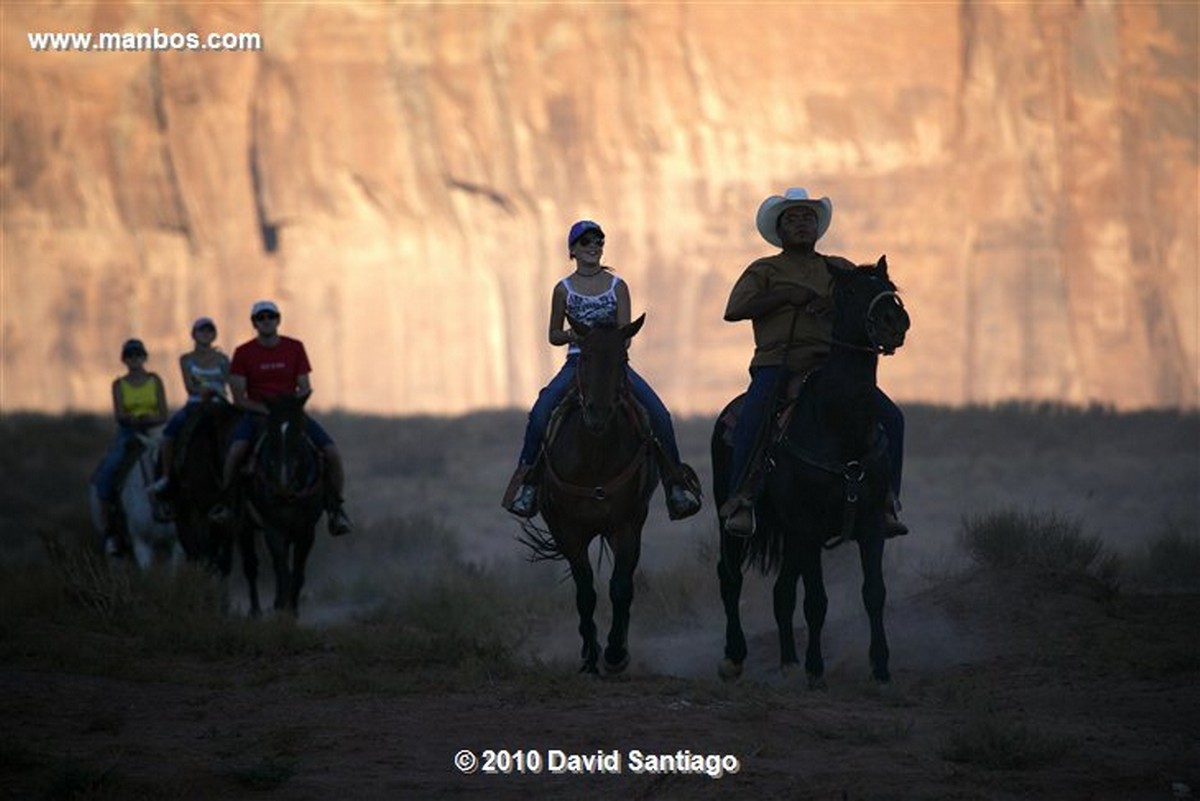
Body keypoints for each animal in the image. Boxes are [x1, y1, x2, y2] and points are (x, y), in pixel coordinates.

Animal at [238, 390, 326, 618]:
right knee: (251, 566)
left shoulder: (306, 530)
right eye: (272, 434)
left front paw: (292, 610)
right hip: (244, 526)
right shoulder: (273, 528)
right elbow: (282, 569)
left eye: (300, 432)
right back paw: (256, 611)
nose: (283, 483)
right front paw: (281, 607)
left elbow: (297, 571)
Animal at [523, 311, 662, 676]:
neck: (595, 455)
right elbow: (585, 590)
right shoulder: (567, 530)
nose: (597, 414)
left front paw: (615, 654)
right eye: (584, 356)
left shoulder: (627, 525)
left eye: (623, 359)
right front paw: (590, 656)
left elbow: (620, 586)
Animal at [710, 256, 907, 690]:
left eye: (891, 287)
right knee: (730, 579)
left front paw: (881, 668)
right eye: (849, 291)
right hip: (735, 521)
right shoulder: (810, 524)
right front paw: (816, 669)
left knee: (782, 590)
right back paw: (733, 658)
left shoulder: (868, 523)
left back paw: (787, 662)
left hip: (790, 535)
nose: (895, 321)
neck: (838, 426)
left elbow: (875, 592)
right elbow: (817, 600)